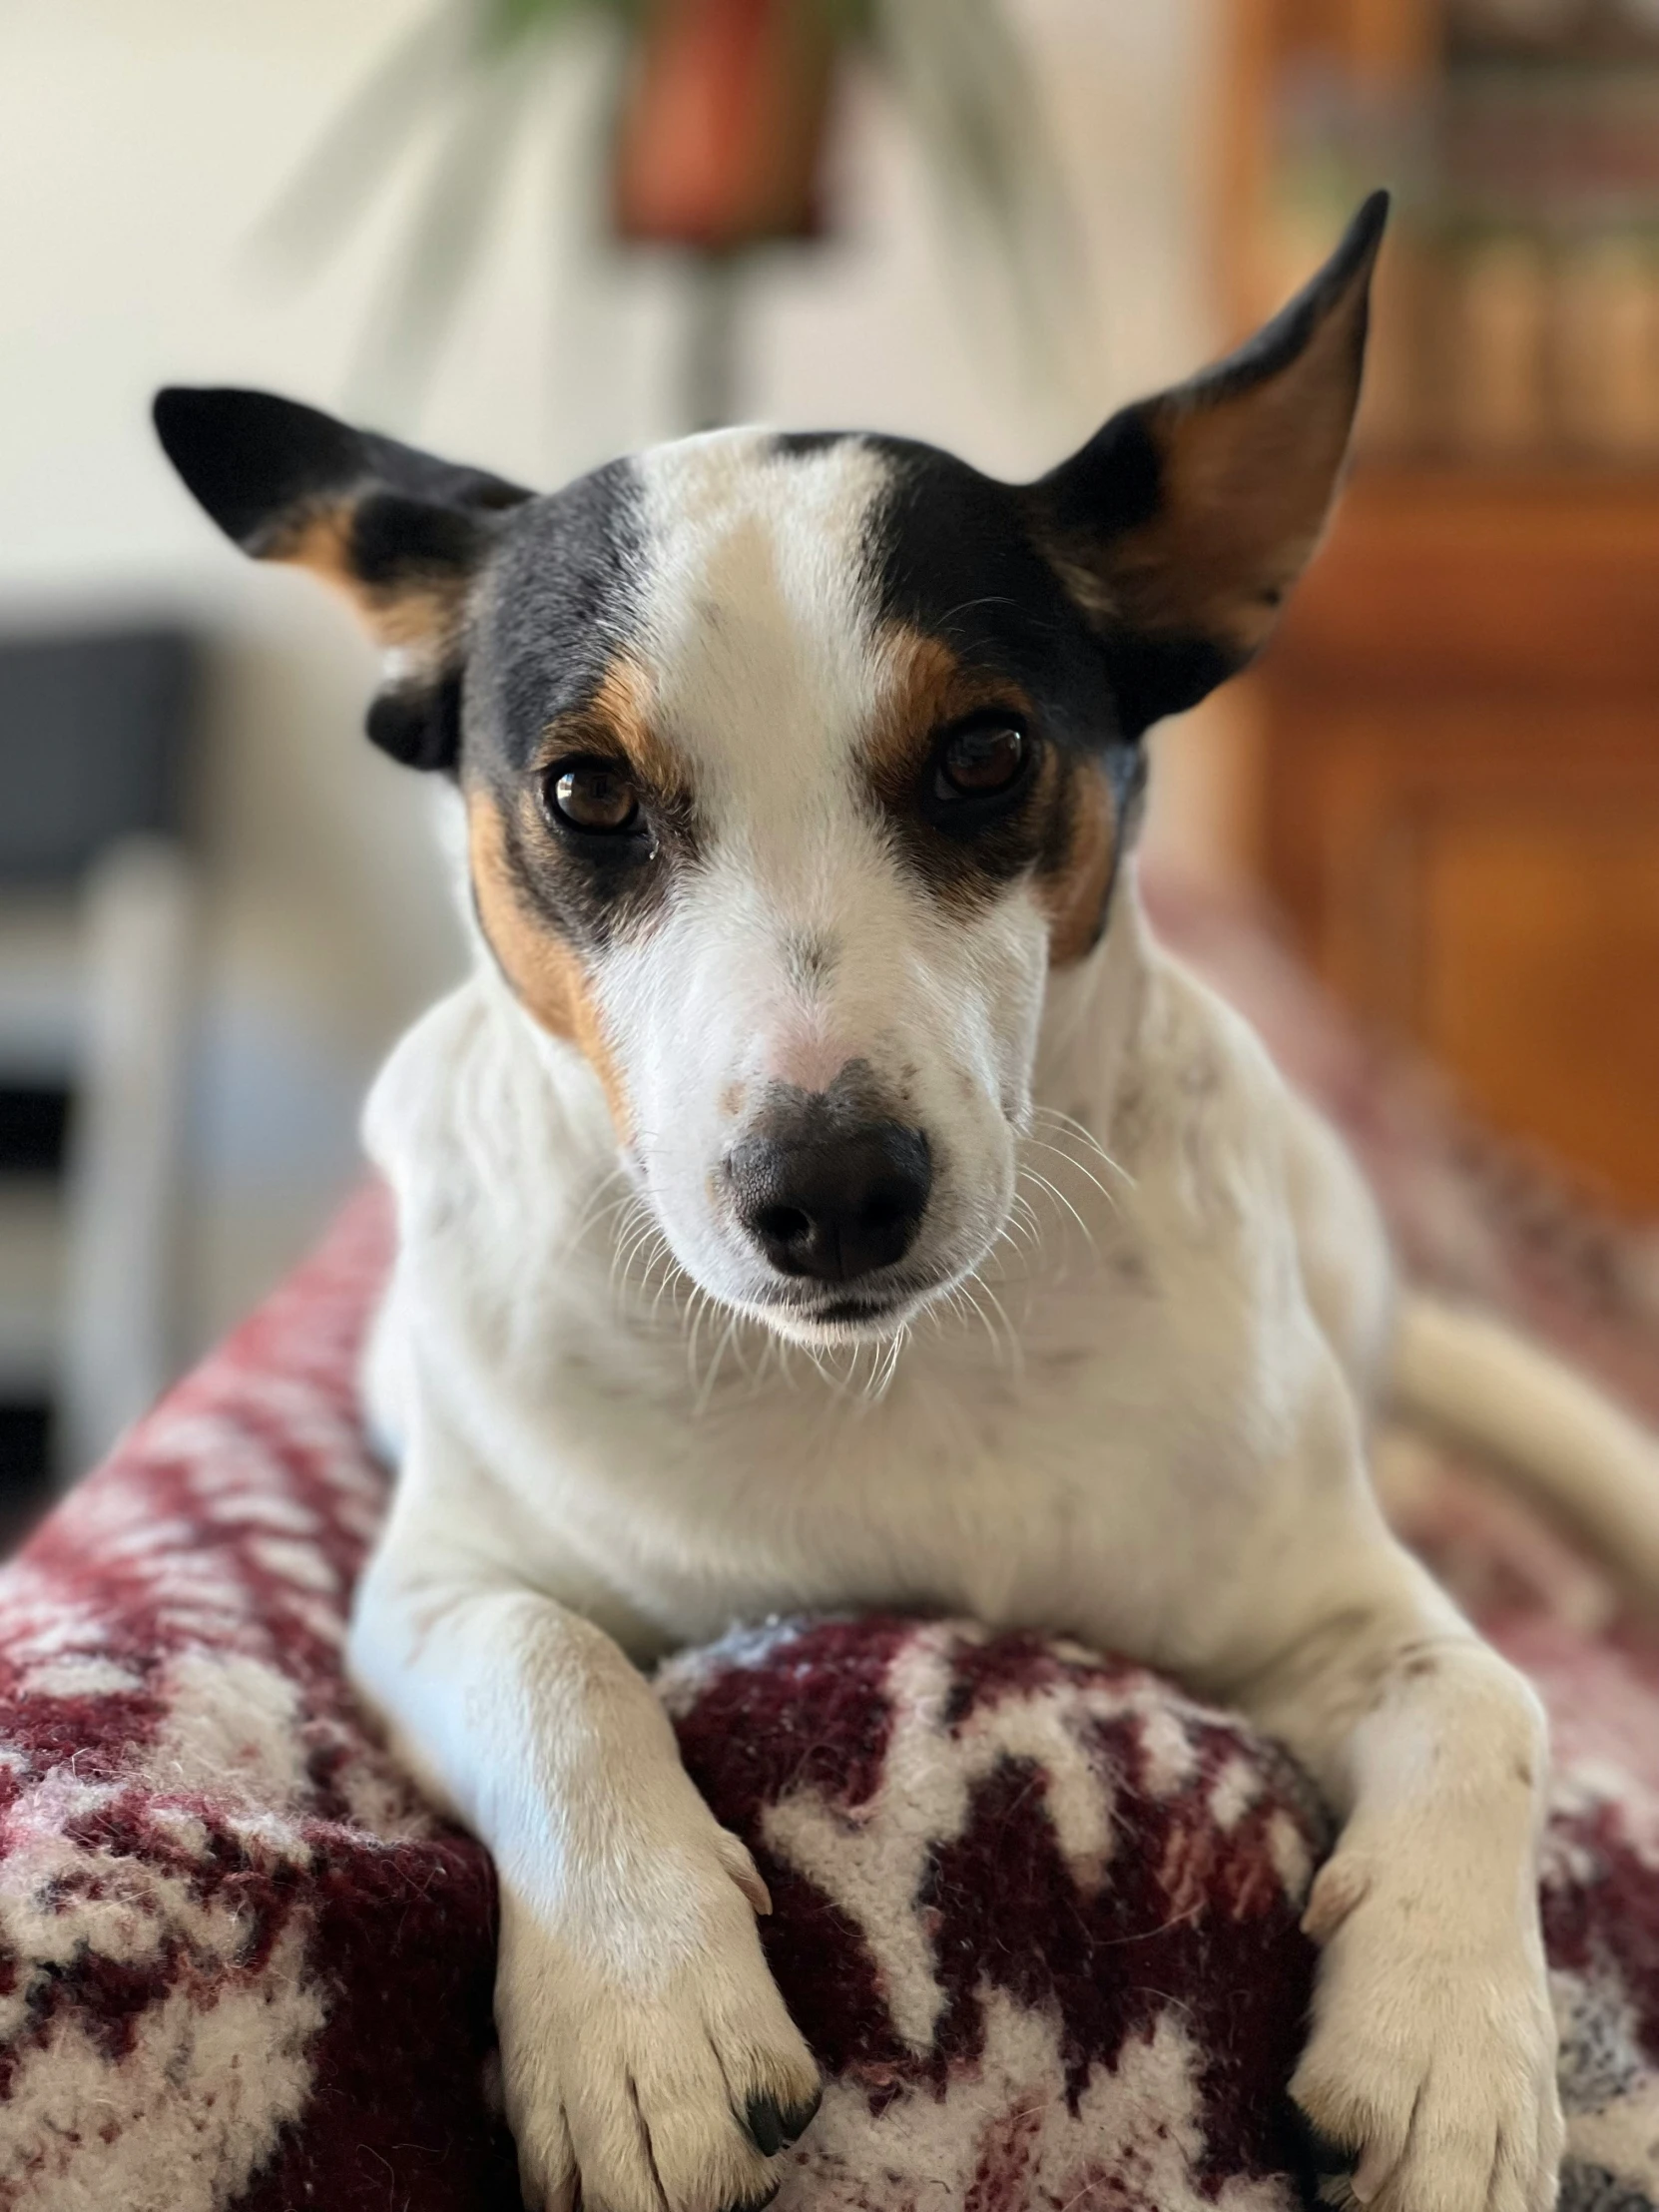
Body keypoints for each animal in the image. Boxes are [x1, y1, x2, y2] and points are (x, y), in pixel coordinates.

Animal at [152, 195, 1659, 2212]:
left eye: (986, 753)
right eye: (585, 791)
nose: (832, 1194)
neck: (886, 1384)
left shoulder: (1336, 1605)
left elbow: (1484, 1700)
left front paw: (1450, 2050)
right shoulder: (441, 1581)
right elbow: (557, 1671)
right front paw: (645, 2013)